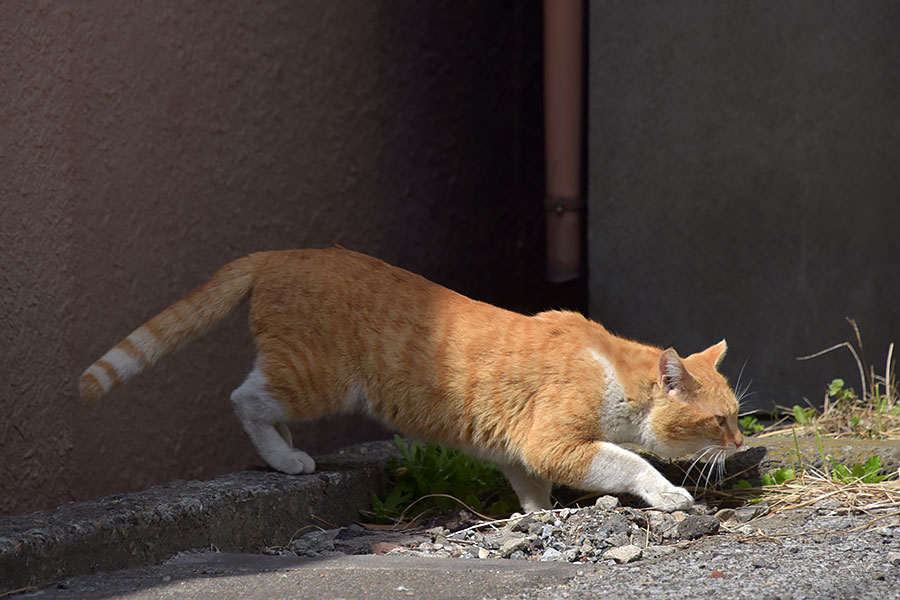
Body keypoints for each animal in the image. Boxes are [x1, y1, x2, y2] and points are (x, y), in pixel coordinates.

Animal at [81, 247, 740, 510]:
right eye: (718, 421)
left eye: (736, 416)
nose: (738, 444)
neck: (611, 371)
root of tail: (278, 255)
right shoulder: (553, 441)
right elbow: (630, 462)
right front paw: (670, 494)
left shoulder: (518, 449)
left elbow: (530, 489)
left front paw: (534, 517)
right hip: (317, 379)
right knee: (245, 399)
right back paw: (288, 458)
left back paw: (282, 454)